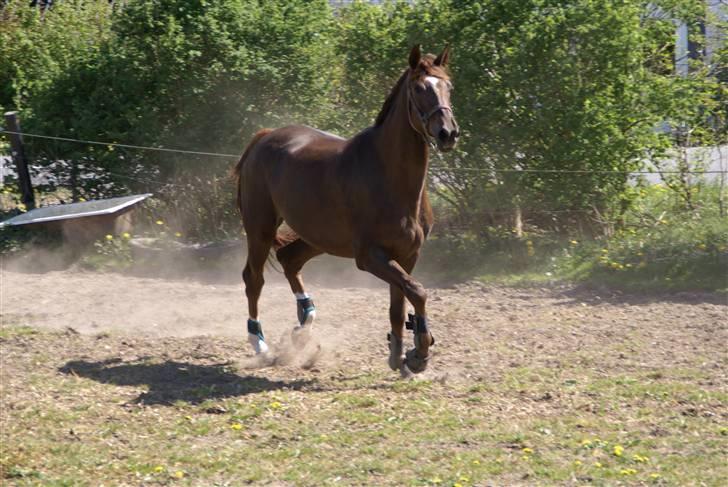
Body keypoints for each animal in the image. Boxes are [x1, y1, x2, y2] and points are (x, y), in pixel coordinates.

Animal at [233, 44, 458, 374]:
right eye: (419, 88)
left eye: (448, 87)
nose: (447, 133)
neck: (389, 175)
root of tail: (265, 137)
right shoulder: (369, 256)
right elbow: (416, 291)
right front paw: (419, 353)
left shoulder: (407, 254)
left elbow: (400, 301)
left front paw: (400, 355)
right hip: (260, 229)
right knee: (254, 279)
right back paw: (260, 344)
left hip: (319, 237)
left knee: (289, 259)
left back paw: (305, 320)